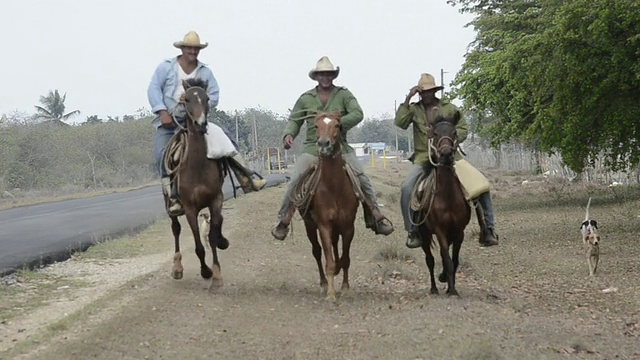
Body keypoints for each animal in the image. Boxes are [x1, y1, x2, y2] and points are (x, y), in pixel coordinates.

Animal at [164, 79, 229, 290]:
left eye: (207, 98)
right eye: (186, 99)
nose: (200, 124)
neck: (198, 166)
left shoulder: (215, 200)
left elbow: (213, 235)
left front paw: (216, 274)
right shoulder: (190, 209)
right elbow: (199, 246)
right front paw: (206, 271)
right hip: (171, 206)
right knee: (175, 229)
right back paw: (177, 267)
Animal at [296, 112, 360, 300]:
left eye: (337, 125)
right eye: (316, 126)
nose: (324, 144)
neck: (334, 188)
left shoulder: (348, 226)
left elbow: (345, 258)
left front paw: (345, 288)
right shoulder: (324, 225)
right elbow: (328, 260)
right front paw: (331, 294)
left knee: (335, 246)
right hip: (309, 225)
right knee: (317, 251)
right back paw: (324, 284)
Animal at [418, 109, 472, 296]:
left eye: (454, 133)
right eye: (434, 134)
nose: (446, 154)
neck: (447, 196)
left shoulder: (458, 231)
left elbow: (453, 260)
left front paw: (451, 287)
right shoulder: (440, 230)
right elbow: (446, 259)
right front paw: (451, 289)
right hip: (425, 234)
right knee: (430, 259)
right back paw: (434, 288)